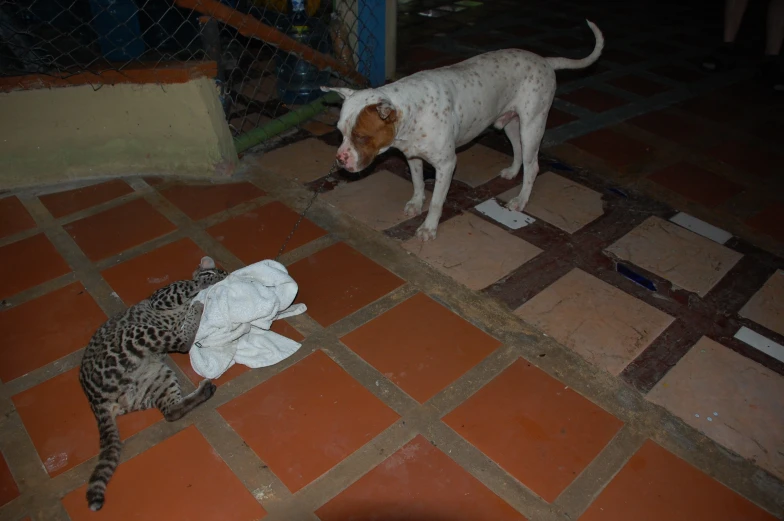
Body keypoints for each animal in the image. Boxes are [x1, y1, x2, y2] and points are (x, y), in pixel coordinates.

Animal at [79, 258, 227, 510]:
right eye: (217, 270)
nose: (223, 273)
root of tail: (94, 401)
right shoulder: (164, 296)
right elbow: (190, 284)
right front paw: (207, 281)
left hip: (155, 376)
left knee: (171, 411)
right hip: (134, 334)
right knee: (182, 343)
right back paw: (195, 312)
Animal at [322, 19, 604, 241]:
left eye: (361, 137)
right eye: (340, 132)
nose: (339, 160)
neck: (412, 111)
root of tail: (545, 60)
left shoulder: (447, 165)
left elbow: (436, 201)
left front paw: (429, 228)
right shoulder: (413, 156)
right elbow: (417, 182)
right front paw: (416, 203)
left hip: (532, 125)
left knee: (533, 165)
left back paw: (520, 200)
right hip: (511, 124)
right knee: (519, 152)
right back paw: (513, 172)